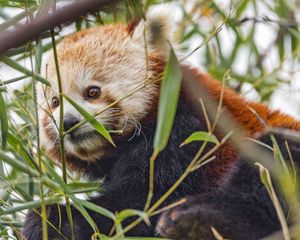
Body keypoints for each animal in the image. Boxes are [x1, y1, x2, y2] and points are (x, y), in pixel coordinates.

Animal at [22, 6, 300, 239]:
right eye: (54, 102)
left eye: (92, 92)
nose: (68, 122)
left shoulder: (187, 136)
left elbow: (139, 204)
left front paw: (55, 219)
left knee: (274, 159)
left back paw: (201, 219)